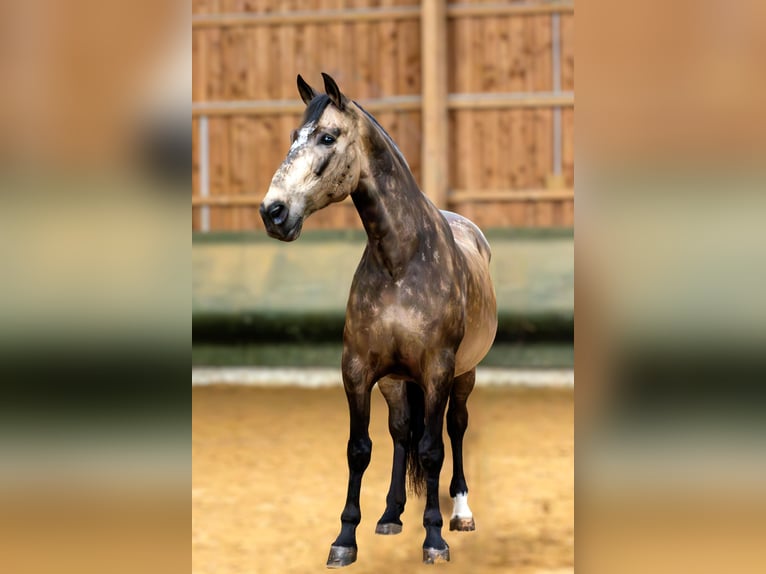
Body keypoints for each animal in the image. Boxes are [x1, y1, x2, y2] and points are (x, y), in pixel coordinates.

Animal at [260, 73, 497, 567]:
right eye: (293, 136)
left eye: (327, 137)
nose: (273, 212)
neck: (400, 262)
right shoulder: (358, 370)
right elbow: (360, 449)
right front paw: (345, 538)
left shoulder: (437, 371)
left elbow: (432, 450)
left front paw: (434, 539)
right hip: (394, 381)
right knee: (401, 432)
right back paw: (390, 514)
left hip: (464, 374)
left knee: (455, 428)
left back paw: (461, 512)